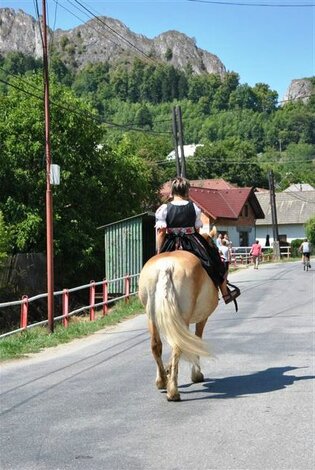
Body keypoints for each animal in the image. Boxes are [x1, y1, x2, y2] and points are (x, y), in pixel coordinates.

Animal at [139, 250, 218, 400]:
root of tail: (166, 267)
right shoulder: (203, 318)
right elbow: (196, 341)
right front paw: (196, 374)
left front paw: (167, 371)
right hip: (182, 319)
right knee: (177, 346)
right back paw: (173, 391)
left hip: (151, 317)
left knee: (156, 345)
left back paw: (162, 381)